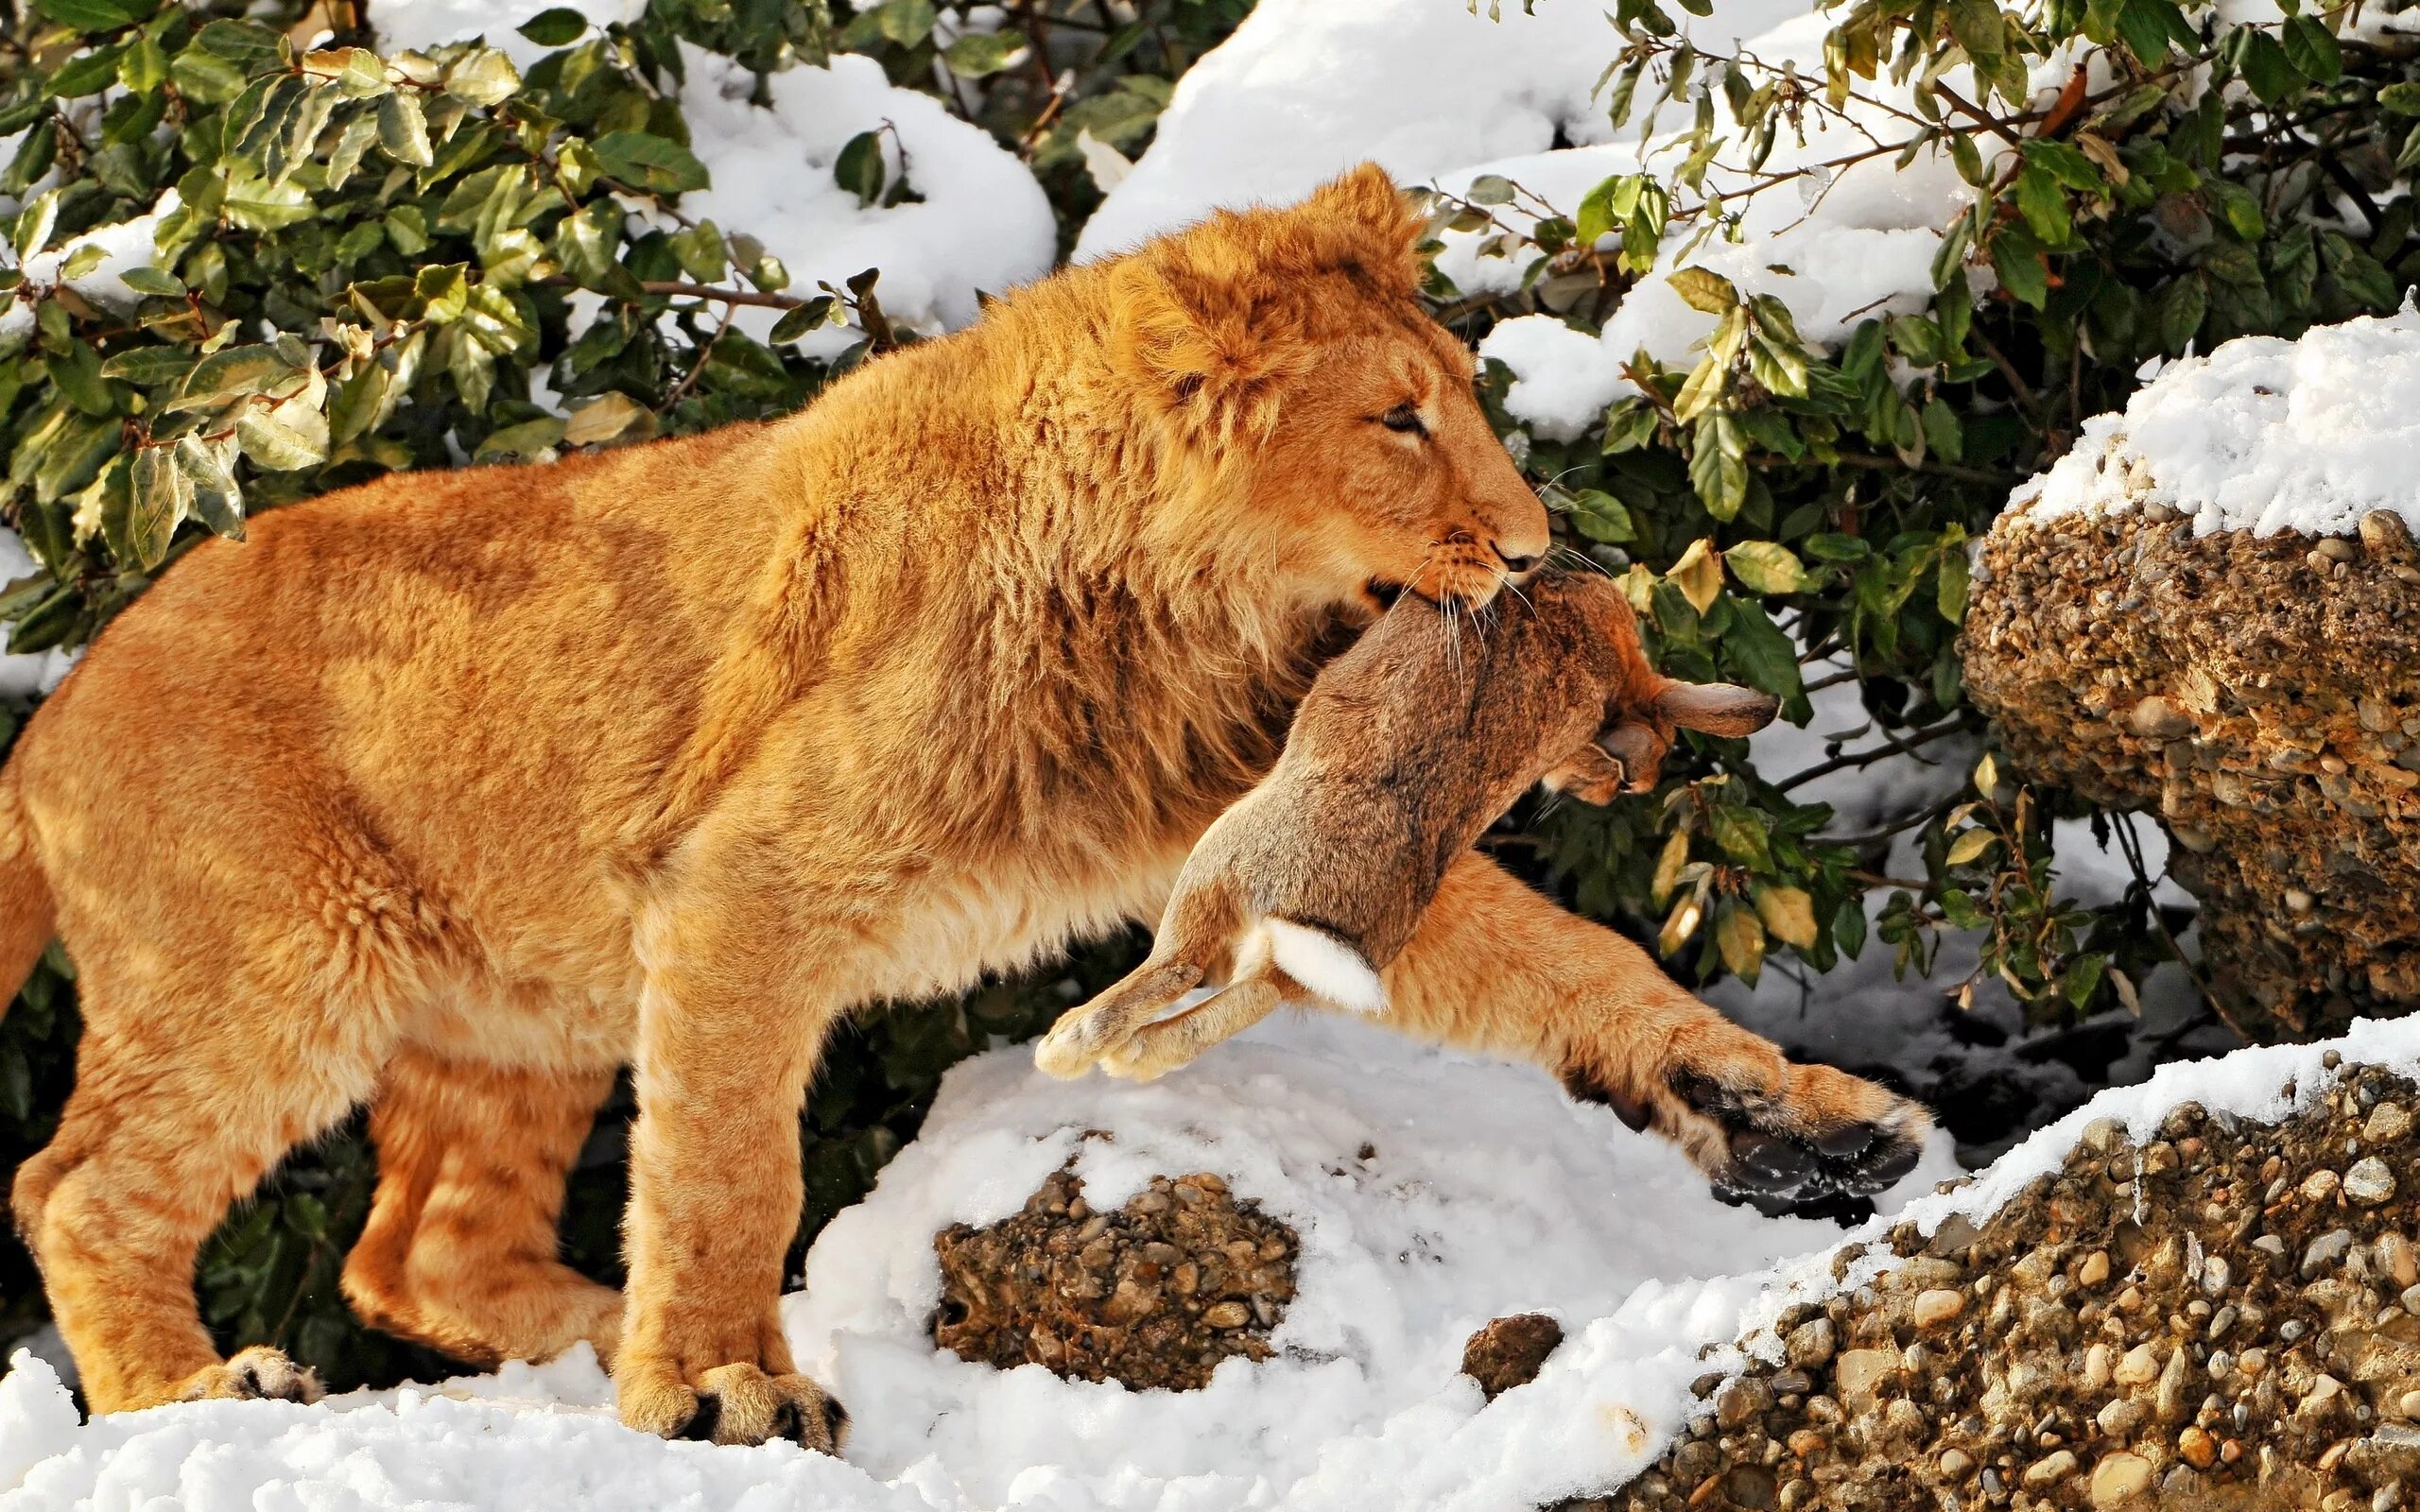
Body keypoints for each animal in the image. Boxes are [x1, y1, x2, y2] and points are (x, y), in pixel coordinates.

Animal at [1030, 568, 1771, 1083]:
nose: (1609, 789)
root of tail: (1321, 910)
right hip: (1310, 954)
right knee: (1236, 1006)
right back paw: (1129, 1060)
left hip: (1219, 863)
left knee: (1175, 968)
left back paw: (1067, 1046)